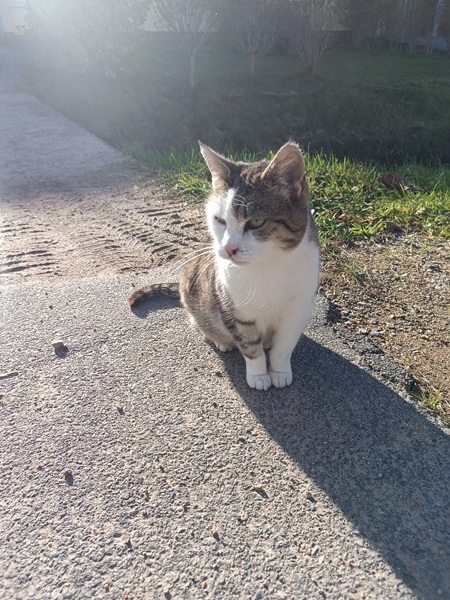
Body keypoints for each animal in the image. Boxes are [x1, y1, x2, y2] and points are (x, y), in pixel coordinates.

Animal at [128, 141, 320, 391]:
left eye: (256, 221)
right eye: (219, 220)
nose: (228, 248)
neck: (267, 265)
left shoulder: (297, 310)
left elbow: (284, 346)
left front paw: (279, 370)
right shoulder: (236, 309)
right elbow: (250, 346)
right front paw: (258, 375)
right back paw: (220, 340)